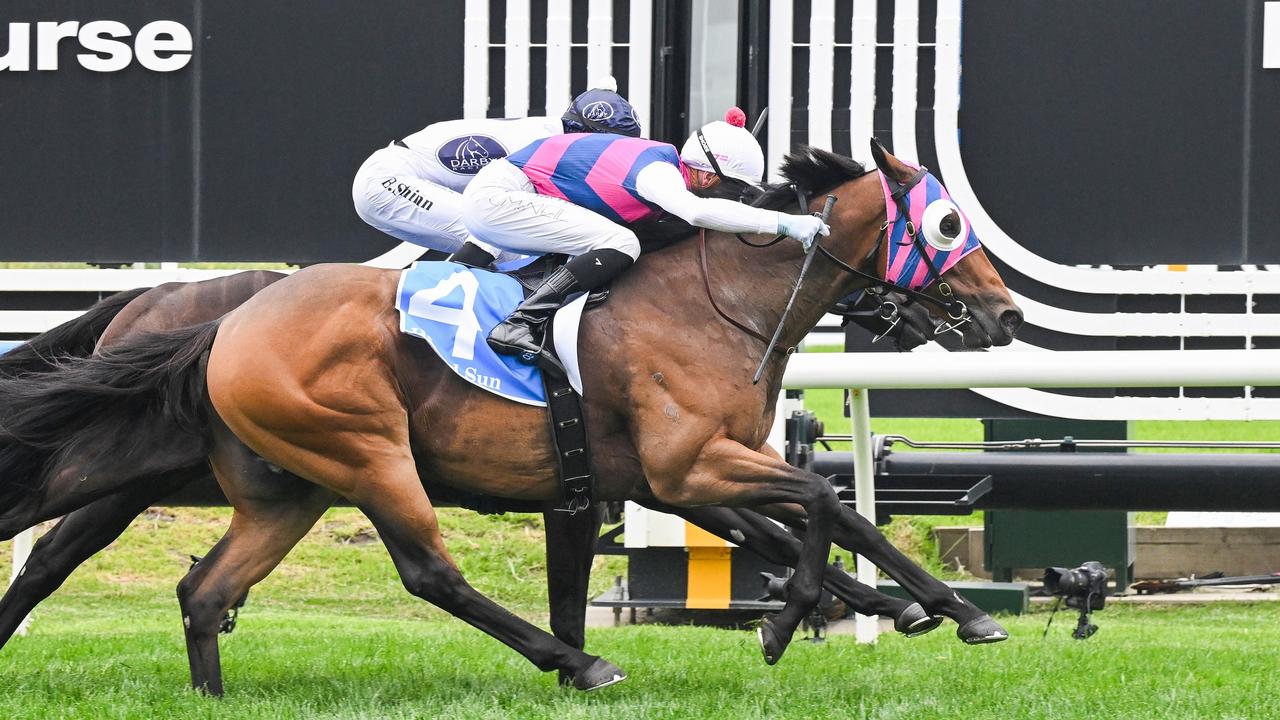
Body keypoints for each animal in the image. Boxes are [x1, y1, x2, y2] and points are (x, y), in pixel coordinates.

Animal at [0, 141, 1018, 691]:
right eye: (947, 227)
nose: (1004, 316)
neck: (716, 300)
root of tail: (222, 321)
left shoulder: (658, 477)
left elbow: (826, 514)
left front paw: (940, 608)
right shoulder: (687, 464)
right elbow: (820, 499)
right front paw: (796, 617)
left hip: (285, 486)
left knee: (201, 591)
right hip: (363, 454)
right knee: (428, 575)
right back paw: (578, 664)